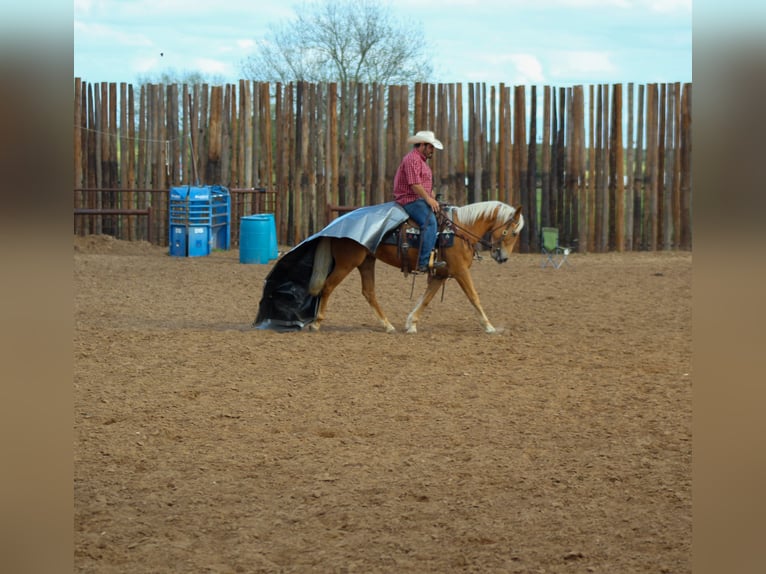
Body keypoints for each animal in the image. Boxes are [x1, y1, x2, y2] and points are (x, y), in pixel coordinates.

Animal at [306, 202, 520, 336]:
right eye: (513, 232)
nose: (503, 257)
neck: (459, 229)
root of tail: (335, 224)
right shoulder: (460, 271)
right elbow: (474, 297)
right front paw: (489, 327)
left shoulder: (441, 275)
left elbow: (425, 299)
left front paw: (411, 324)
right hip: (347, 263)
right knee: (328, 287)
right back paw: (316, 323)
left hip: (366, 261)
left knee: (368, 292)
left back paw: (388, 325)